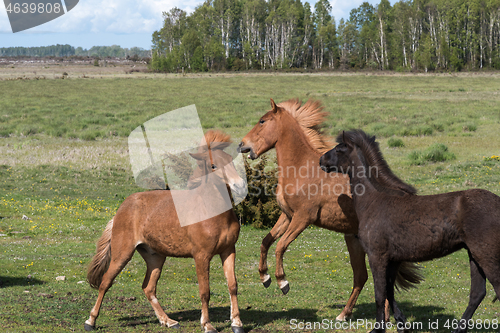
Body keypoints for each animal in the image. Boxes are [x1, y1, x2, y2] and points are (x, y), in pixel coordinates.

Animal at [85, 130, 247, 332]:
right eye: (213, 165)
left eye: (231, 161)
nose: (240, 185)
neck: (211, 212)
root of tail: (121, 209)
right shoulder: (201, 256)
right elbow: (205, 291)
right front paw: (207, 324)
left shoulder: (228, 250)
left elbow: (232, 285)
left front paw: (237, 323)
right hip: (122, 254)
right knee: (105, 282)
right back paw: (90, 321)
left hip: (155, 257)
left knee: (148, 287)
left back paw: (169, 321)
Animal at [238, 98, 422, 320]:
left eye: (262, 121)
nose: (242, 144)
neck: (301, 169)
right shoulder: (287, 216)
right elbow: (266, 242)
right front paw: (264, 278)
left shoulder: (302, 219)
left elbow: (280, 246)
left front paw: (283, 282)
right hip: (354, 240)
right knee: (363, 276)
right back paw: (348, 314)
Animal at [320, 129, 500, 332]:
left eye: (339, 149)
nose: (321, 160)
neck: (374, 201)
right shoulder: (394, 260)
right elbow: (389, 292)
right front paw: (401, 324)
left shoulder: (377, 256)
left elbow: (380, 294)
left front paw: (379, 327)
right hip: (474, 255)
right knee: (477, 293)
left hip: (486, 255)